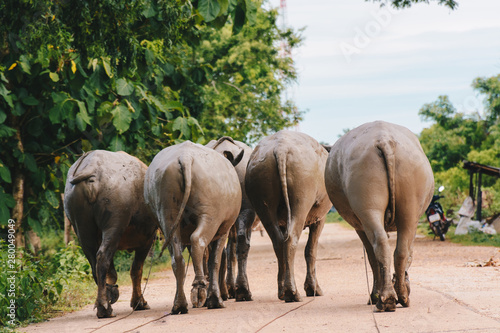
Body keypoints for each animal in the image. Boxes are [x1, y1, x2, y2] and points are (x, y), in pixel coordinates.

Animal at [63, 150, 156, 316]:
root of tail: (91, 167)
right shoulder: (147, 239)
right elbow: (136, 270)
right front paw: (139, 302)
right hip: (114, 224)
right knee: (102, 257)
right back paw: (104, 307)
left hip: (81, 228)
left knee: (94, 262)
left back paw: (104, 303)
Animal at [144, 141, 243, 312]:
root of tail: (186, 157)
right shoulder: (224, 229)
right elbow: (215, 261)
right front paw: (214, 297)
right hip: (210, 216)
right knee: (198, 241)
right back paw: (202, 289)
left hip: (167, 216)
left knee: (177, 257)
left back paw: (180, 304)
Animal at [245, 130, 332, 300]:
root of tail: (281, 148)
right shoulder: (320, 217)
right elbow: (311, 249)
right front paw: (313, 288)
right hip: (302, 188)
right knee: (291, 238)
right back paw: (292, 292)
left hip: (259, 183)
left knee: (278, 241)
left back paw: (283, 291)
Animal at [324, 120, 434, 312]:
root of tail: (384, 139)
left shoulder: (360, 227)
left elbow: (372, 256)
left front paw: (376, 293)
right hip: (405, 196)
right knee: (398, 248)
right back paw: (396, 296)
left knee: (384, 245)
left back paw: (389, 297)